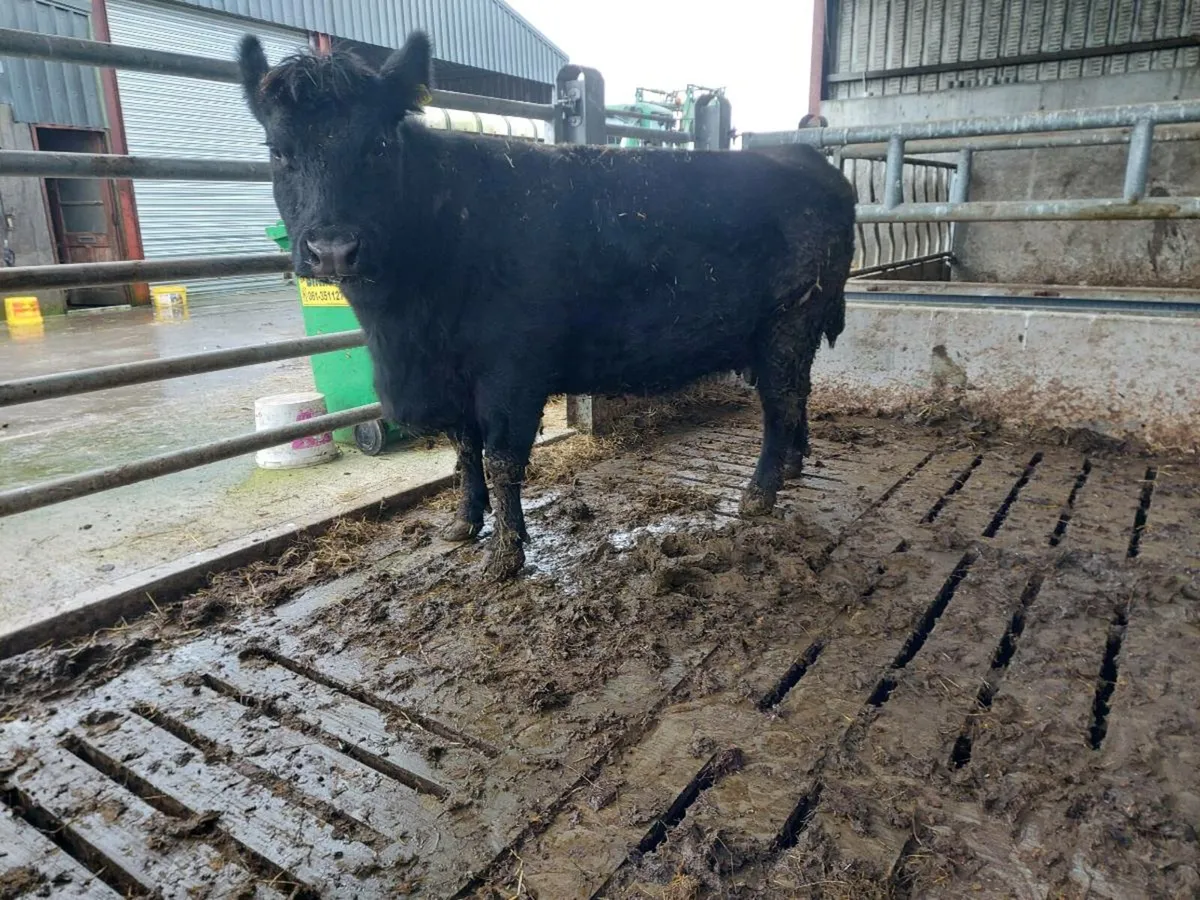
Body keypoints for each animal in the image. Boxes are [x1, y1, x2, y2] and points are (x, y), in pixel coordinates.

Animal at [237, 32, 856, 579]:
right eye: (277, 151)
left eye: (379, 146)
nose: (332, 249)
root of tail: (806, 159)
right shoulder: (453, 377)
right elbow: (464, 451)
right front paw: (463, 524)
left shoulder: (511, 371)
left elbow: (501, 457)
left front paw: (505, 557)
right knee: (799, 395)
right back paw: (794, 465)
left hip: (788, 323)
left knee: (780, 403)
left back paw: (760, 492)